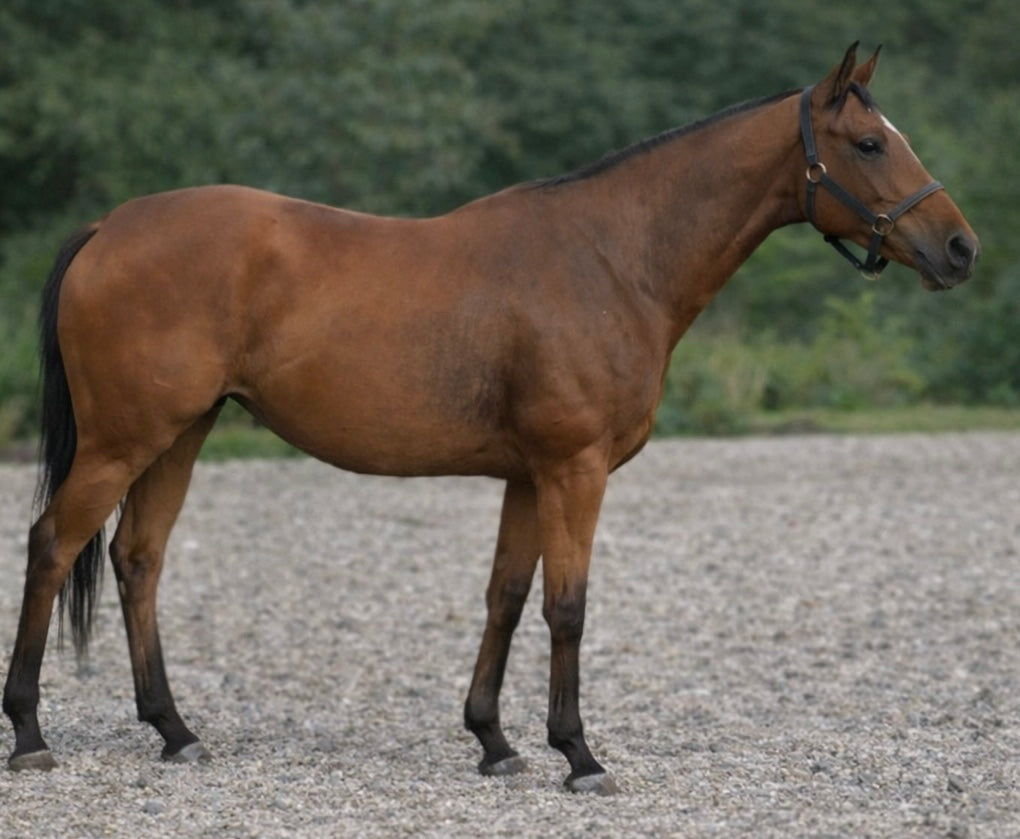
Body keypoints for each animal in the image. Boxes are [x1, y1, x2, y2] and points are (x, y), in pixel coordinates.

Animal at [3, 44, 978, 793]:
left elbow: (505, 596)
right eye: (868, 143)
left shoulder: (525, 473)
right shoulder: (573, 468)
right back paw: (31, 735)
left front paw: (495, 742)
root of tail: (107, 228)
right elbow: (567, 605)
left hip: (182, 433)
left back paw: (175, 729)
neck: (613, 258)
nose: (961, 247)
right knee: (53, 544)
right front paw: (579, 754)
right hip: (125, 439)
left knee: (138, 559)